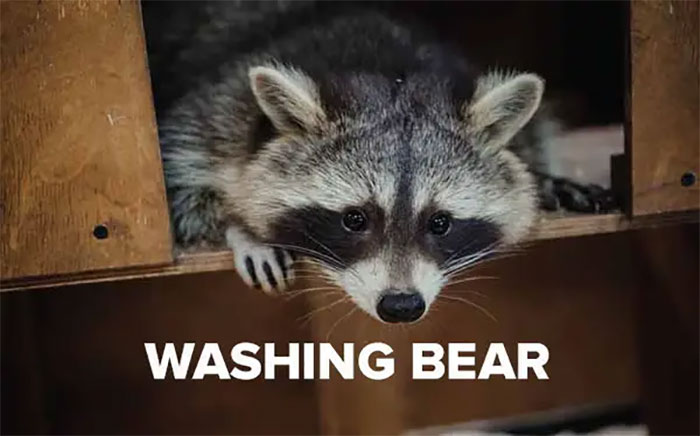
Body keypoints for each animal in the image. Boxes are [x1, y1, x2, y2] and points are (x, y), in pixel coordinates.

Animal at [152, 3, 613, 323]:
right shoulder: (219, 110)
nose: (401, 306)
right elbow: (180, 183)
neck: (390, 72)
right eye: (354, 219)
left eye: (440, 223)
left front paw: (547, 179)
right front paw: (242, 229)